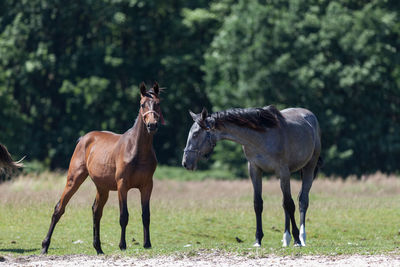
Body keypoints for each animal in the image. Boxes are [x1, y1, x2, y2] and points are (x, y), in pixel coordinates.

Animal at [41, 82, 163, 255]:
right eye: (142, 104)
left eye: (158, 103)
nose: (152, 125)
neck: (137, 149)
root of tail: (84, 138)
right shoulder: (122, 186)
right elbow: (123, 216)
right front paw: (122, 245)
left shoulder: (147, 186)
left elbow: (146, 215)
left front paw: (147, 244)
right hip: (74, 180)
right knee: (59, 209)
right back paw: (45, 246)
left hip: (102, 188)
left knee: (96, 211)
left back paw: (98, 247)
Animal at [181, 105, 322, 248]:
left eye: (195, 134)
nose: (186, 163)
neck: (262, 137)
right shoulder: (255, 170)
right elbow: (258, 204)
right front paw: (258, 240)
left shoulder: (283, 171)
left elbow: (290, 204)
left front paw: (296, 239)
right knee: (285, 203)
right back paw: (286, 238)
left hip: (309, 167)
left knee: (302, 201)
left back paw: (301, 237)